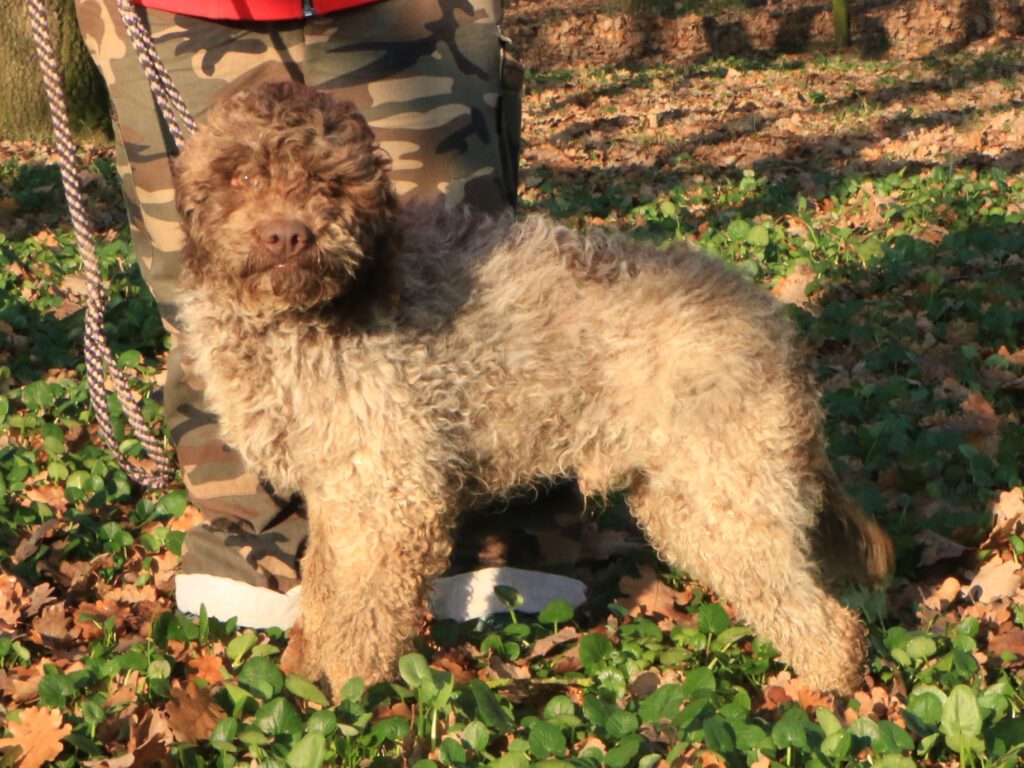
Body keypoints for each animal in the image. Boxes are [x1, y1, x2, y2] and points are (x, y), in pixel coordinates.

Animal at [174, 82, 888, 696]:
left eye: (328, 182)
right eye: (241, 177)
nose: (286, 234)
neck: (308, 318)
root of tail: (774, 322)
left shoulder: (389, 496)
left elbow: (362, 619)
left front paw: (343, 700)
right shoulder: (338, 490)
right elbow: (324, 590)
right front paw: (302, 669)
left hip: (727, 499)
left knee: (830, 626)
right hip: (688, 501)